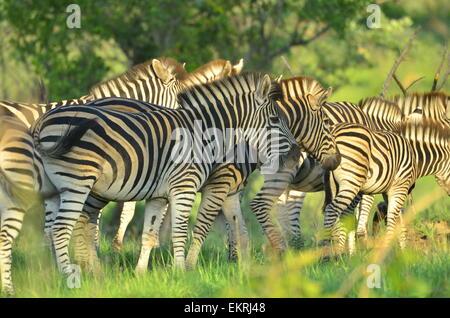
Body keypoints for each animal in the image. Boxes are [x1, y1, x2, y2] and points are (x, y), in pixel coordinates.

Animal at [30, 72, 298, 274]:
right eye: (275, 119)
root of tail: (42, 121)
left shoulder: (161, 195)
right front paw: (182, 272)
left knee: (65, 226)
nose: (295, 155)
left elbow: (150, 234)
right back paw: (69, 274)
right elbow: (183, 232)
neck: (206, 133)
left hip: (61, 188)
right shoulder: (188, 187)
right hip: (78, 183)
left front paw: (140, 275)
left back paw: (79, 272)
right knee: (63, 228)